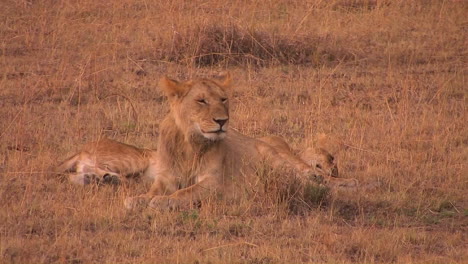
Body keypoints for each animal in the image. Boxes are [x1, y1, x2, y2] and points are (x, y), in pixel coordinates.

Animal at [122, 73, 356, 209]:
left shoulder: (214, 182)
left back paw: (340, 184)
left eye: (223, 99)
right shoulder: (166, 177)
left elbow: (185, 192)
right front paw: (138, 199)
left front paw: (164, 201)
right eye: (201, 101)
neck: (191, 144)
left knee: (315, 178)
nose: (222, 121)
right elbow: (152, 191)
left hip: (276, 159)